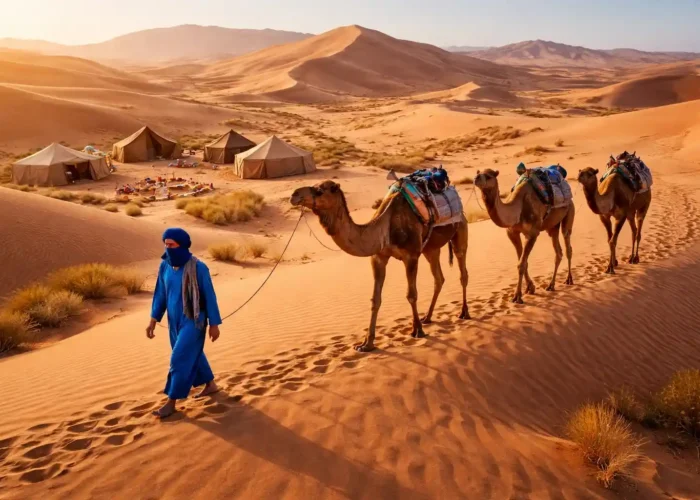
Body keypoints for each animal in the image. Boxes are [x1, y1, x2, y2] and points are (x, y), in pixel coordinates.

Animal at [290, 180, 469, 352]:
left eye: (319, 191)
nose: (294, 195)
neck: (385, 226)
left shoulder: (411, 256)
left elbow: (411, 295)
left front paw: (417, 330)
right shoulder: (378, 257)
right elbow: (375, 299)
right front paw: (366, 344)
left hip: (460, 230)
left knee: (463, 273)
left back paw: (464, 313)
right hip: (430, 249)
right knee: (439, 278)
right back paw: (428, 317)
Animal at [474, 168, 575, 304]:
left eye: (489, 176)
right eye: (478, 172)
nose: (476, 178)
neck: (517, 209)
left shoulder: (532, 233)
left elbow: (521, 264)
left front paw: (517, 296)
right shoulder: (512, 233)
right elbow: (522, 261)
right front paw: (530, 288)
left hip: (569, 213)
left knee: (568, 245)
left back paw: (569, 279)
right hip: (552, 227)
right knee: (558, 252)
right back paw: (551, 285)